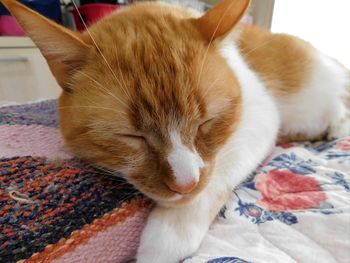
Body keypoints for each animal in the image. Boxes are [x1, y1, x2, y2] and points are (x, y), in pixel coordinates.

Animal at [3, 0, 350, 263]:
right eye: (132, 137)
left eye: (205, 123)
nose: (185, 184)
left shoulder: (261, 117)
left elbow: (219, 171)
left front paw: (167, 237)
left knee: (340, 109)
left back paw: (332, 130)